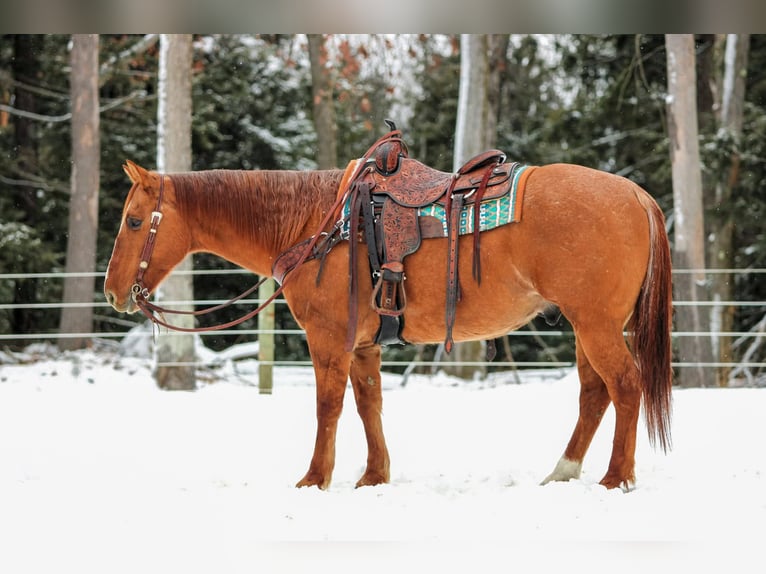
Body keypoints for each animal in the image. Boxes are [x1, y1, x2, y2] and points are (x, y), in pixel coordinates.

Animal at [104, 154, 673, 491]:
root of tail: (636, 195)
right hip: (589, 326)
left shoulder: (329, 341)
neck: (318, 225)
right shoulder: (363, 345)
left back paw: (616, 477)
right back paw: (563, 471)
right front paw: (375, 476)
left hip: (595, 324)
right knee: (594, 394)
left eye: (134, 221)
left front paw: (315, 478)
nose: (113, 291)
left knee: (625, 385)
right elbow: (368, 405)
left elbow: (328, 408)